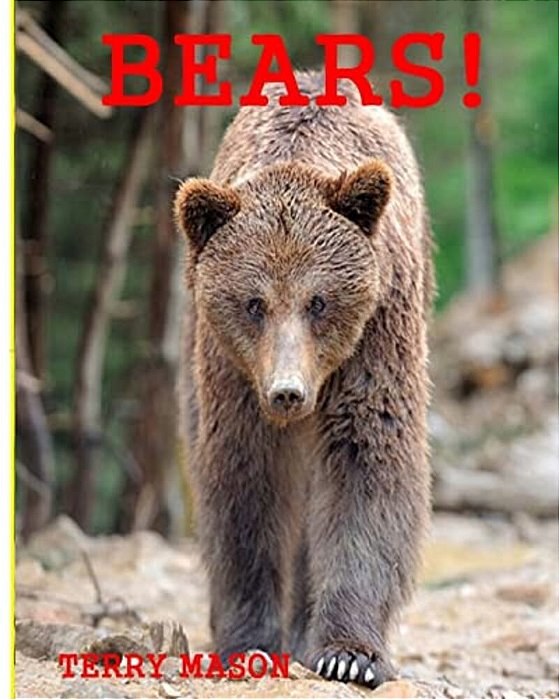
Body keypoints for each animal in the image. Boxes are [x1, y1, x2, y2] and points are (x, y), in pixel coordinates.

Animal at [173, 70, 433, 689]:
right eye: (254, 303)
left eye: (319, 300)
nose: (287, 391)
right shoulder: (233, 372)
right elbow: (244, 485)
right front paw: (247, 641)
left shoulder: (377, 333)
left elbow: (369, 464)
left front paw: (349, 654)